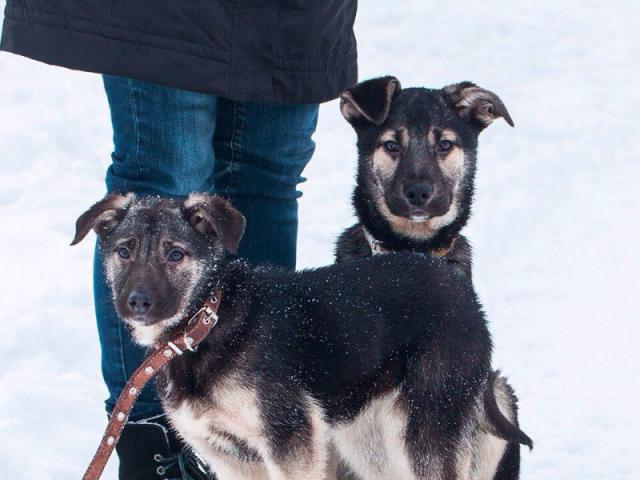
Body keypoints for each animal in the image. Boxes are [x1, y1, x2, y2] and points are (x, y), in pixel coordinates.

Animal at [74, 193, 524, 478]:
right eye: (124, 251)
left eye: (175, 254)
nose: (137, 302)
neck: (206, 325)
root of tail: (460, 289)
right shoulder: (227, 454)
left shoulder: (290, 440)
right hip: (369, 437)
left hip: (428, 428)